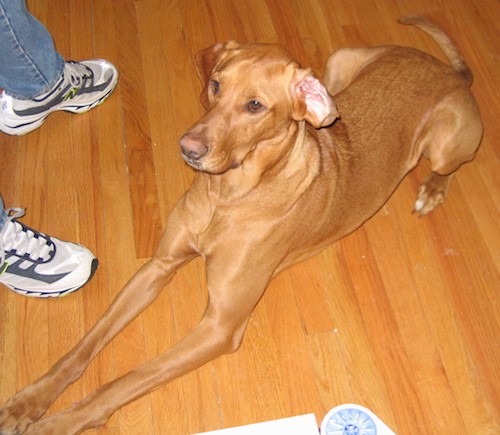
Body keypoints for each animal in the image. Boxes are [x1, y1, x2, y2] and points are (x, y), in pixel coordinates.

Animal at [0, 16, 480, 432]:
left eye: (255, 105)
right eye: (216, 84)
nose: (189, 148)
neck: (229, 195)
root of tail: (452, 73)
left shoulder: (220, 325)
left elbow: (125, 381)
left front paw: (60, 423)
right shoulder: (158, 265)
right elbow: (84, 346)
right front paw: (31, 401)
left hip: (443, 143)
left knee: (446, 166)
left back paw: (432, 189)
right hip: (339, 63)